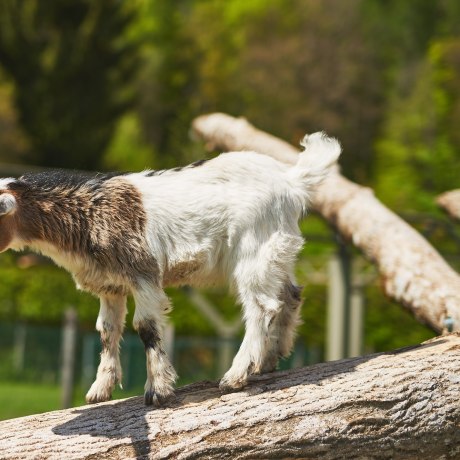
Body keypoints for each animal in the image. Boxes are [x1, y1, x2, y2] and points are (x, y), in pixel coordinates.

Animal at [0, 132, 340, 402]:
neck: (90, 210)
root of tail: (292, 181)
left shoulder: (143, 274)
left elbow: (145, 327)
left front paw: (158, 390)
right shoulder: (110, 285)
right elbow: (107, 331)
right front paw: (100, 390)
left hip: (254, 251)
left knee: (261, 306)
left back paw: (235, 376)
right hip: (277, 253)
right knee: (291, 294)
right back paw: (269, 358)